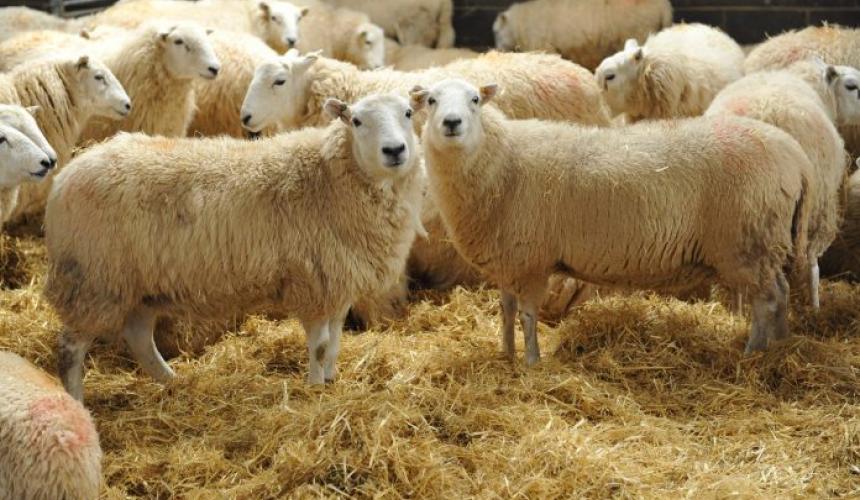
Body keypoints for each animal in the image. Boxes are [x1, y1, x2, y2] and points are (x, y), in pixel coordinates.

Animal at [44, 92, 425, 401]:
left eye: (408, 113)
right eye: (357, 121)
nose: (395, 151)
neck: (328, 178)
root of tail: (67, 175)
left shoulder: (337, 281)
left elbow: (334, 343)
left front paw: (330, 380)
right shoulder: (313, 282)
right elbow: (318, 347)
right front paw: (315, 390)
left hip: (138, 286)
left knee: (139, 338)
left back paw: (172, 381)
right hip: (93, 279)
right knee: (70, 349)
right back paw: (77, 401)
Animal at [411, 79, 814, 362]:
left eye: (475, 100)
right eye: (431, 100)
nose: (451, 122)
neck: (501, 161)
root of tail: (795, 156)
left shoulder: (531, 260)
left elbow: (527, 315)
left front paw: (531, 362)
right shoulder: (510, 261)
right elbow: (506, 311)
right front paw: (506, 355)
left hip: (748, 242)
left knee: (766, 300)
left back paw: (753, 353)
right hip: (763, 244)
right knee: (781, 292)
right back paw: (781, 345)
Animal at [706, 61, 860, 309]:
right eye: (851, 86)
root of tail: (764, 115)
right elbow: (812, 264)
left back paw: (738, 311)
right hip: (814, 203)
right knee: (810, 261)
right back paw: (813, 307)